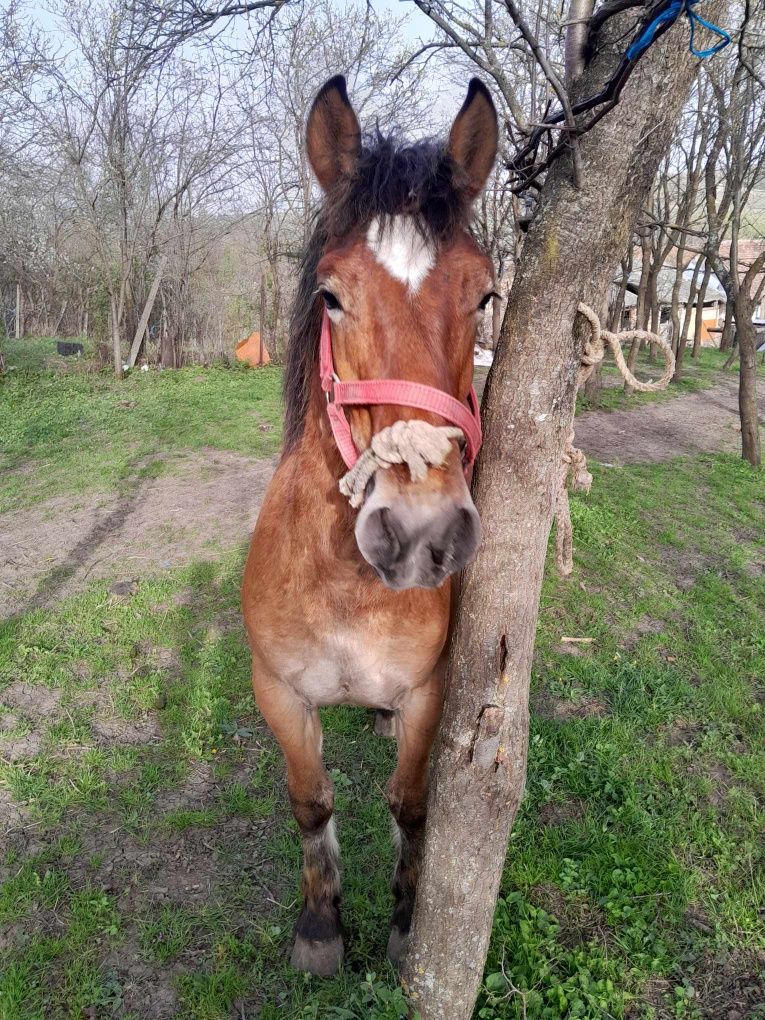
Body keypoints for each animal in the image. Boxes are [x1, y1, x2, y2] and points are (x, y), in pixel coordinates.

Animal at [242, 75, 499, 975]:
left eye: (485, 294)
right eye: (331, 295)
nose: (421, 531)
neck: (344, 587)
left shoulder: (428, 697)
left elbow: (410, 805)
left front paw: (403, 920)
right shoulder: (279, 695)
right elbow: (311, 804)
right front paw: (321, 925)